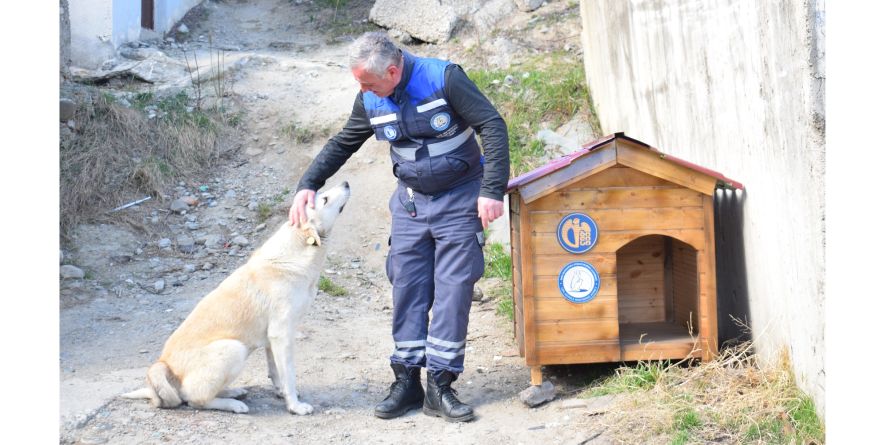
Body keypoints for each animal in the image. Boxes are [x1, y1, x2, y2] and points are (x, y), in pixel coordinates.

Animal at [122, 182, 350, 414]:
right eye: (324, 199)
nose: (346, 183)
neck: (294, 254)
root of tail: (164, 365)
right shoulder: (282, 334)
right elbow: (289, 376)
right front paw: (295, 406)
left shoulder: (272, 339)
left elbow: (276, 372)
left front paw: (281, 393)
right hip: (234, 349)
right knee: (193, 398)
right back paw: (233, 403)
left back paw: (232, 391)